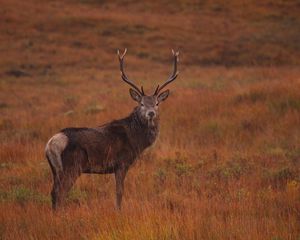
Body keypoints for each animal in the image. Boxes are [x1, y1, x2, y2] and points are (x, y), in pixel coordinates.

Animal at [45, 48, 179, 210]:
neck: (136, 141)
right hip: (72, 166)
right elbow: (119, 192)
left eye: (157, 103)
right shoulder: (122, 163)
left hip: (55, 169)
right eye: (141, 103)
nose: (151, 113)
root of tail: (51, 144)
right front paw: (118, 211)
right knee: (60, 192)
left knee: (53, 192)